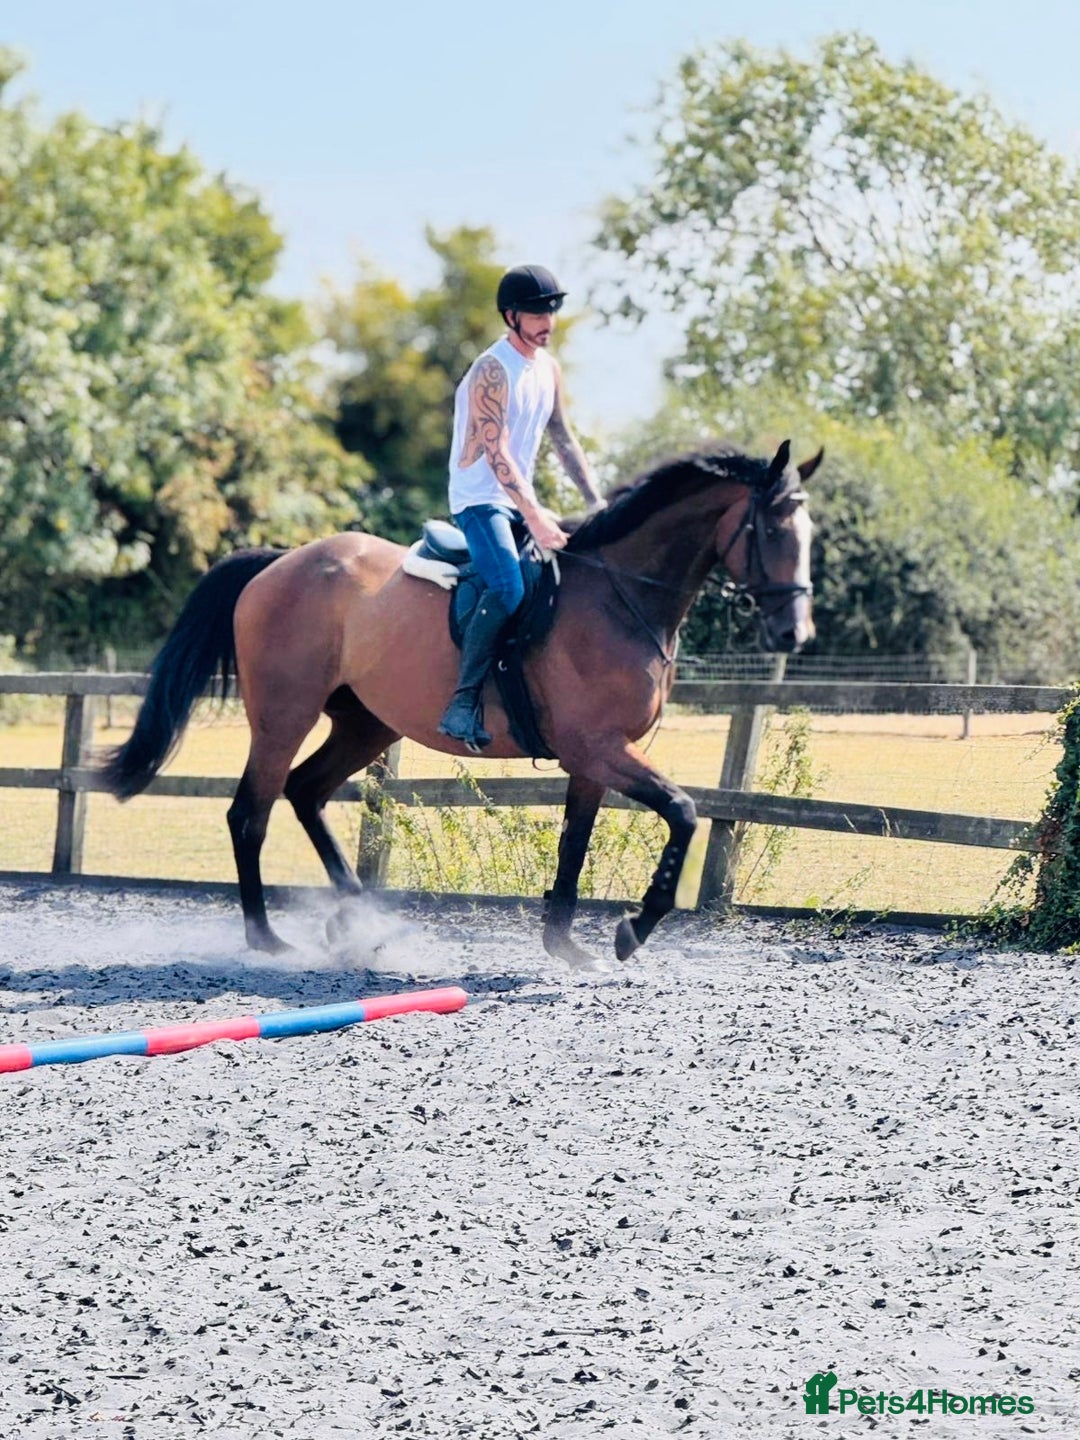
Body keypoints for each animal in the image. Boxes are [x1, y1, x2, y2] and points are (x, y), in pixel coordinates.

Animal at [101, 439, 820, 967]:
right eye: (771, 527)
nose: (795, 633)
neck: (618, 594)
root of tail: (279, 562)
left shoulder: (591, 759)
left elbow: (576, 843)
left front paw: (565, 943)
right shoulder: (600, 748)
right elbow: (684, 811)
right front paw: (633, 929)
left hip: (367, 725)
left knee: (304, 792)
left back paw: (359, 921)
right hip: (284, 716)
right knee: (250, 812)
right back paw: (268, 940)